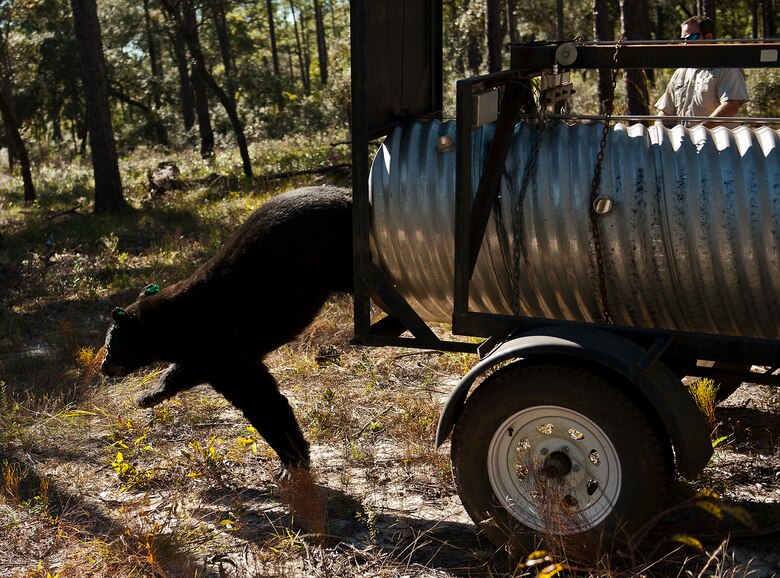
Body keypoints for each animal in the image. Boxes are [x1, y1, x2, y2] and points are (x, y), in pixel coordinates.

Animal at [101, 186, 353, 472]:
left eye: (109, 347)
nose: (104, 367)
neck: (173, 327)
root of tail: (344, 194)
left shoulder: (220, 341)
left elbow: (259, 397)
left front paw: (291, 460)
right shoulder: (203, 353)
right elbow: (185, 372)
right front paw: (150, 395)